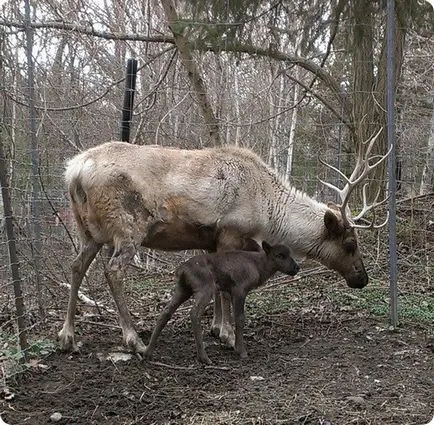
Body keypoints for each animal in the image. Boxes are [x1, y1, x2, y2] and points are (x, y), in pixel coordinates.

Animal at [144, 240, 300, 362]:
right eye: (280, 255)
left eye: (290, 253)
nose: (297, 267)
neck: (259, 266)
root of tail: (181, 270)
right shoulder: (239, 289)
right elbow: (240, 318)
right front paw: (241, 350)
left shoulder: (228, 290)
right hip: (205, 288)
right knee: (194, 313)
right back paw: (204, 357)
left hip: (183, 289)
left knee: (166, 312)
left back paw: (148, 352)